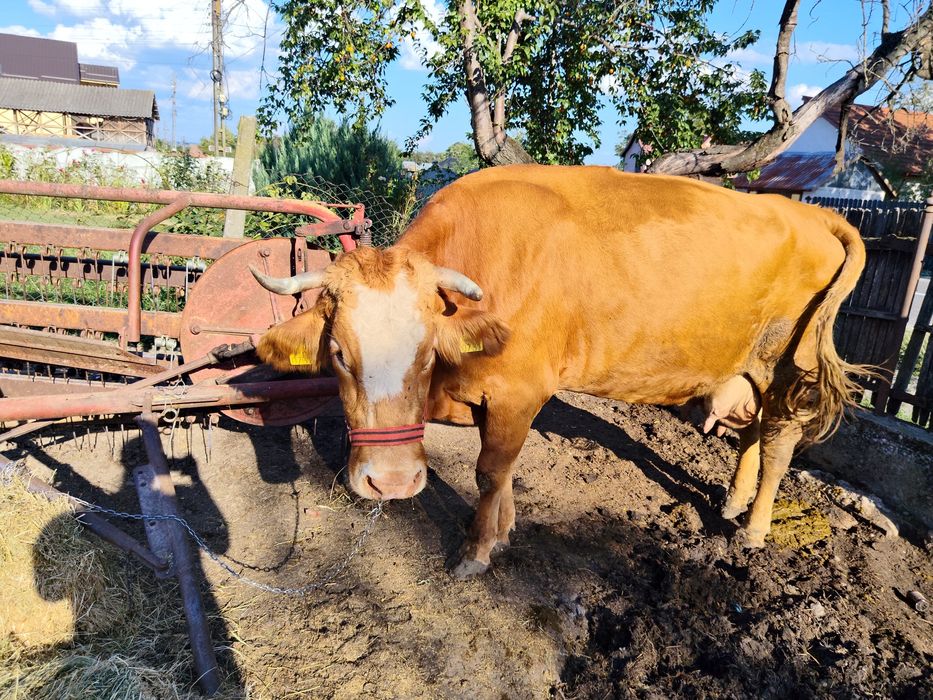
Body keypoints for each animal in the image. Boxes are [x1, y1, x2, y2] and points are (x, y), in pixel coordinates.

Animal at [250, 164, 870, 578]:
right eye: (338, 354)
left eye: (427, 353)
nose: (394, 482)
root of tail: (810, 212)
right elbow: (503, 472)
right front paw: (504, 531)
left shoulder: (518, 391)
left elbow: (490, 472)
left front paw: (477, 551)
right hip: (748, 367)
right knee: (754, 433)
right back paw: (734, 503)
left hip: (786, 366)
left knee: (779, 444)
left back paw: (753, 529)